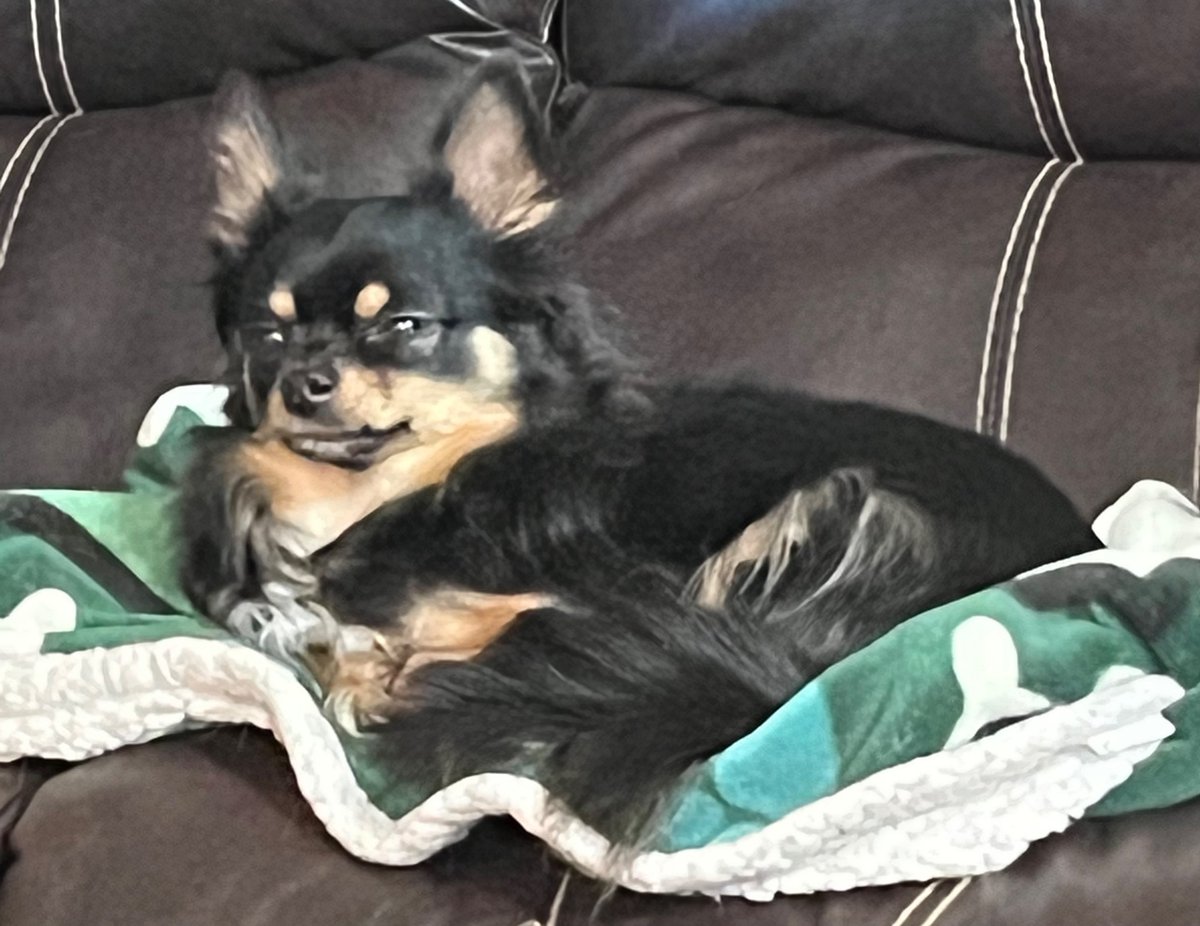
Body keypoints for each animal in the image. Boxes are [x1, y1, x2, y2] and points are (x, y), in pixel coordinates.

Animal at [177, 61, 1099, 849]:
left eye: (402, 326)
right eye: (267, 335)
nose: (304, 382)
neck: (377, 495)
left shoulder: (577, 604)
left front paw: (381, 674)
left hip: (840, 511)